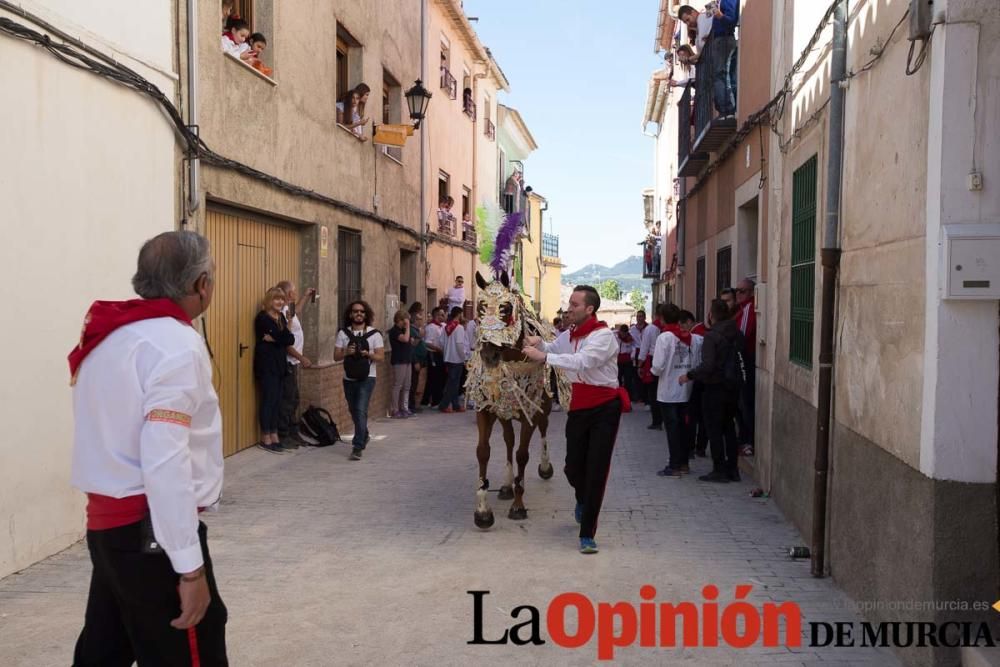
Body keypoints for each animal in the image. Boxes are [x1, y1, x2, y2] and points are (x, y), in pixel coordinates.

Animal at [462, 207, 568, 528]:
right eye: (480, 308)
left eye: (506, 309)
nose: (489, 355)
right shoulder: (486, 409)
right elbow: (484, 451)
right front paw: (483, 510)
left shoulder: (530, 410)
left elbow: (522, 454)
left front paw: (519, 506)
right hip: (505, 409)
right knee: (508, 440)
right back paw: (507, 485)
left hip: (539, 408)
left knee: (540, 433)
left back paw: (543, 468)